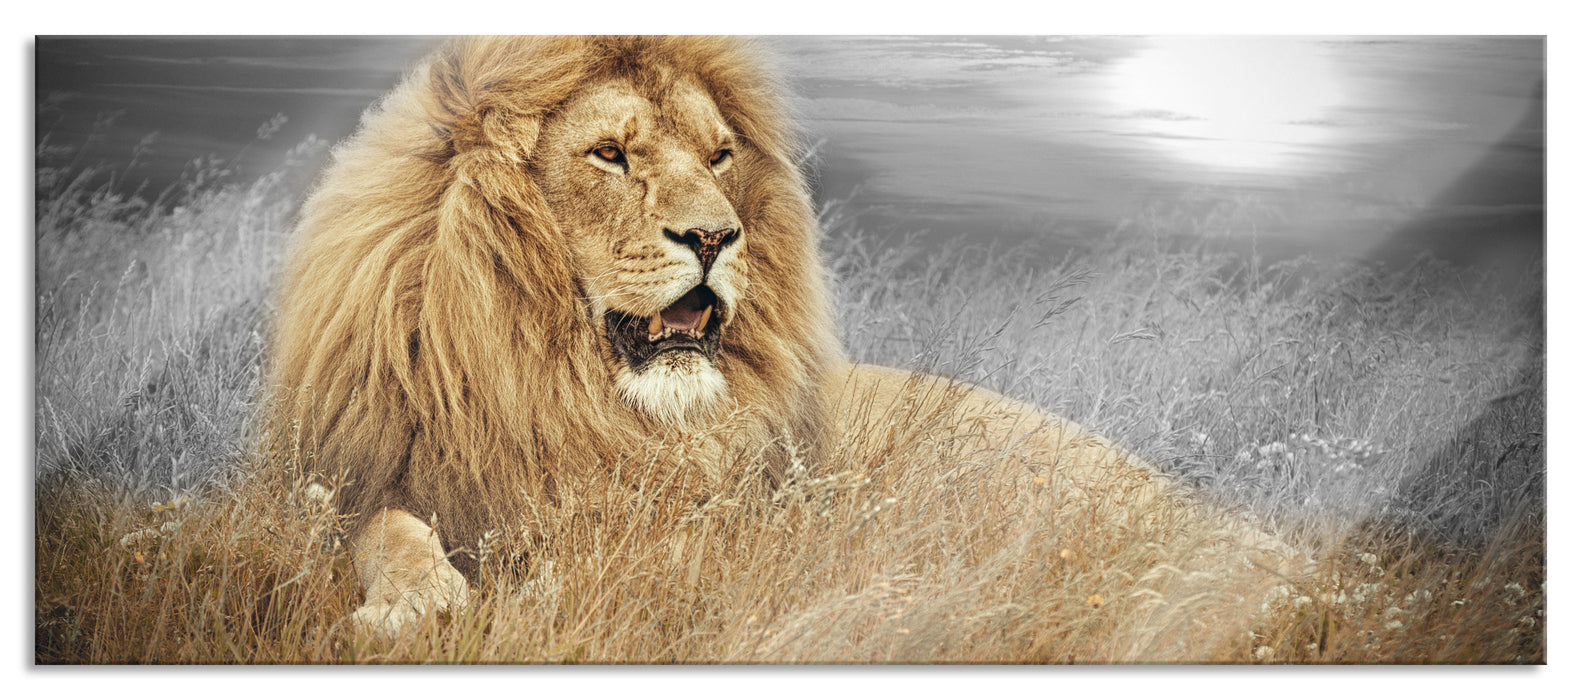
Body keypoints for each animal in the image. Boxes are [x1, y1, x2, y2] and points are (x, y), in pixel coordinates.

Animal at [267, 36, 1272, 636]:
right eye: (609, 154)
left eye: (720, 157)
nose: (715, 237)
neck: (562, 390)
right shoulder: (354, 481)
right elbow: (386, 528)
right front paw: (418, 601)